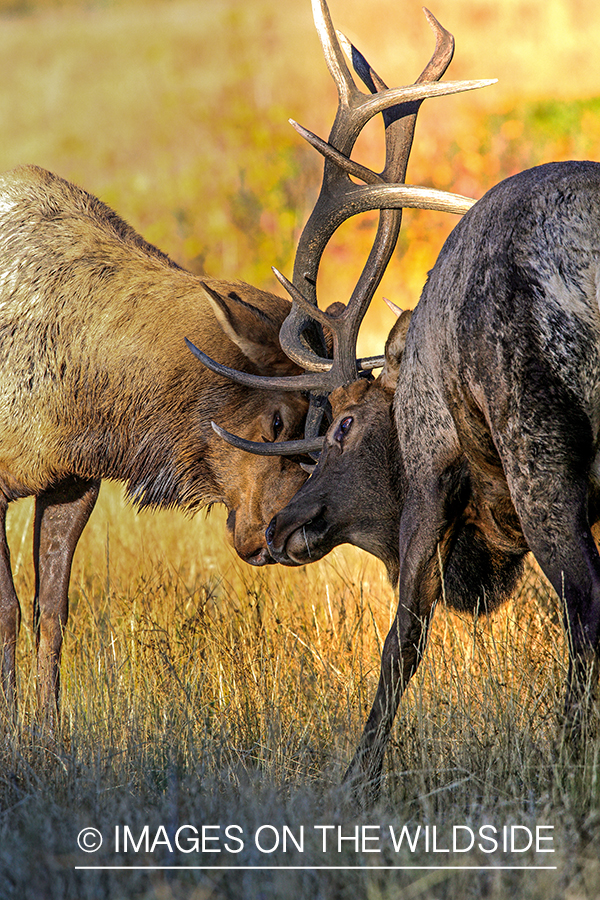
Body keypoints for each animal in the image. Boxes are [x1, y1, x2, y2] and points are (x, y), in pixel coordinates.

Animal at [205, 7, 600, 800]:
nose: (277, 529)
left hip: (537, 447)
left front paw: (361, 774)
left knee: (584, 602)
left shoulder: (429, 474)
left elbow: (402, 638)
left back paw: (569, 759)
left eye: (344, 426)